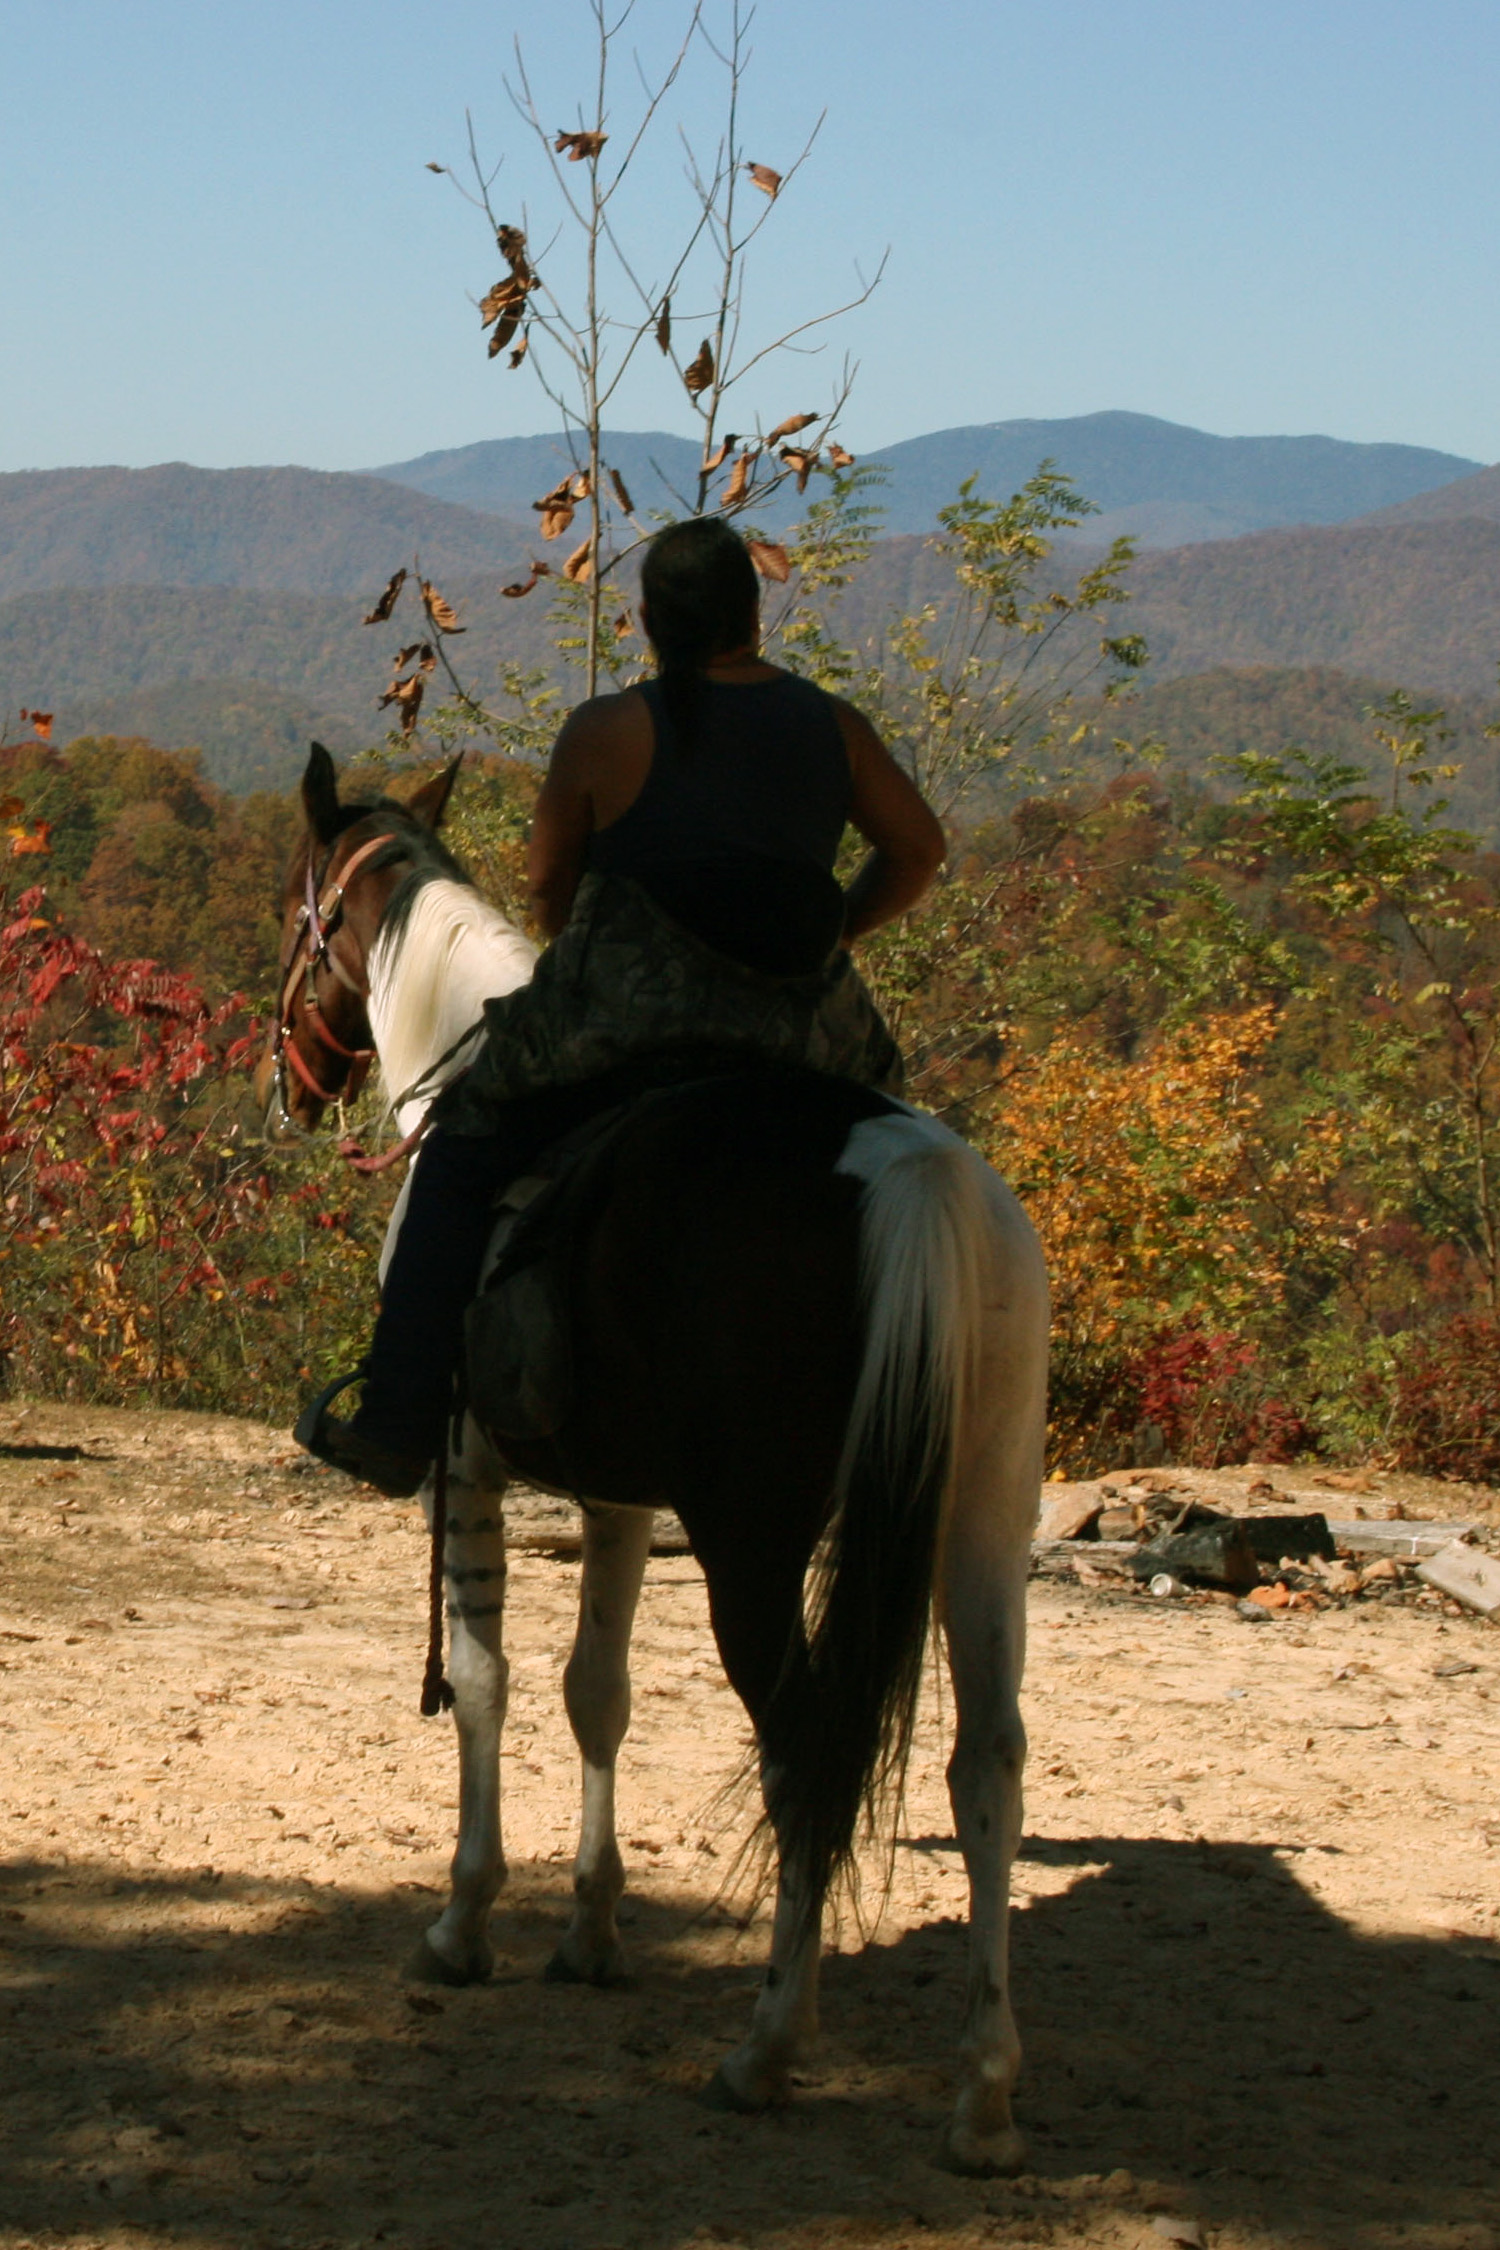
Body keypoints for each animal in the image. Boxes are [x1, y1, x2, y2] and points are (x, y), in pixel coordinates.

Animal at [251, 751, 1052, 2178]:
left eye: (302, 918)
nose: (283, 1080)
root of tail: (903, 1171)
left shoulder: (466, 1467)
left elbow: (484, 1681)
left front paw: (465, 1923)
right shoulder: (622, 1500)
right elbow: (596, 1693)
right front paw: (591, 1928)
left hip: (755, 1542)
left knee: (803, 1749)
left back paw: (768, 2049)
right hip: (983, 1523)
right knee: (989, 1773)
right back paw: (984, 2096)